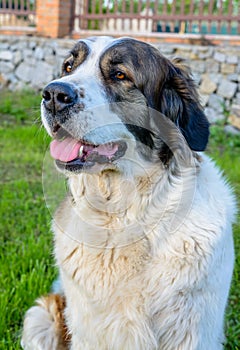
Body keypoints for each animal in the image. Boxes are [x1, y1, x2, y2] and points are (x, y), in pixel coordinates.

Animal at [21, 37, 235, 348]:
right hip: (39, 320)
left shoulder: (193, 330)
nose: (53, 94)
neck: (123, 215)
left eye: (120, 75)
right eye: (69, 67)